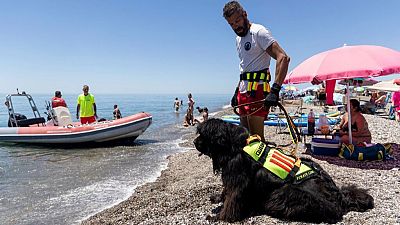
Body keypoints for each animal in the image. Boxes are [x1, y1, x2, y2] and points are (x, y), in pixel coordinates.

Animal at [195, 118, 376, 224]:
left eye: (203, 135)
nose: (194, 142)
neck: (236, 144)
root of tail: (339, 196)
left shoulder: (238, 180)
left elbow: (231, 200)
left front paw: (219, 217)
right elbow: (226, 192)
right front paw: (217, 198)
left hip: (284, 194)